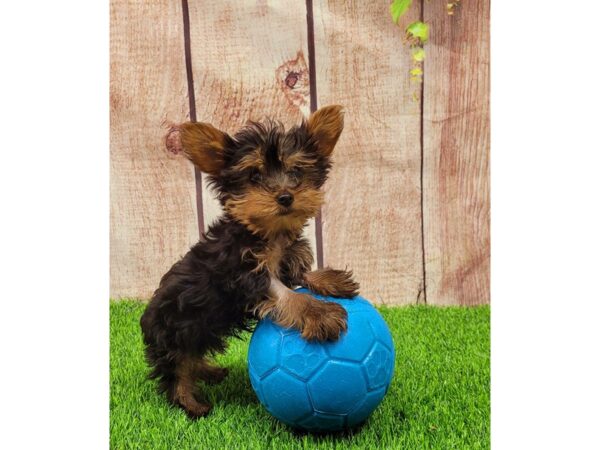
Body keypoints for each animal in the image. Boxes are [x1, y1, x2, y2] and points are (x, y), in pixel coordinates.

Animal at [141, 105, 358, 418]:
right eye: (254, 176)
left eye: (296, 171)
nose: (285, 197)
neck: (267, 233)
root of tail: (146, 322)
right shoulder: (244, 273)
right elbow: (286, 294)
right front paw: (319, 312)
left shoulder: (284, 259)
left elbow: (297, 275)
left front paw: (331, 280)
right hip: (175, 334)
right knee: (176, 371)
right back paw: (191, 403)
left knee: (191, 359)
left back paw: (209, 372)